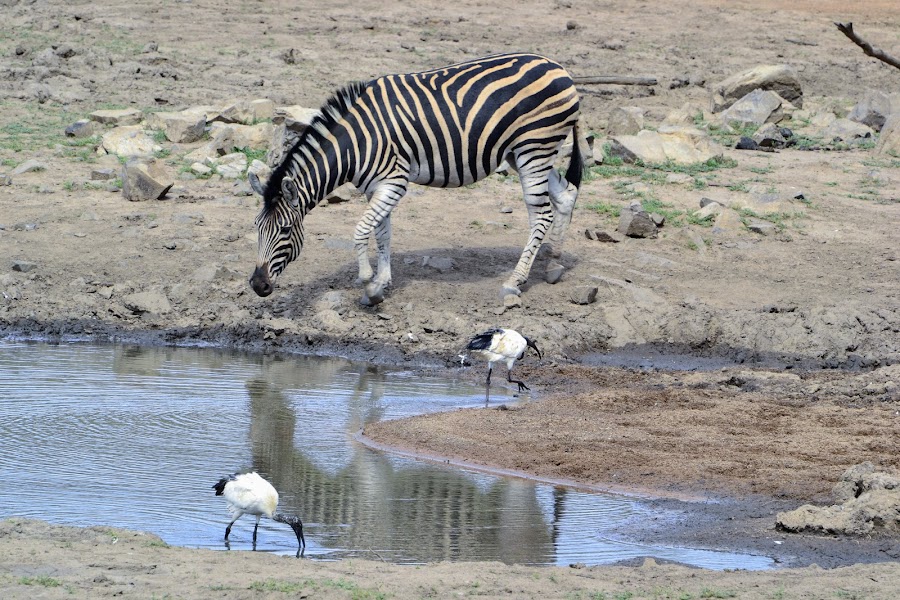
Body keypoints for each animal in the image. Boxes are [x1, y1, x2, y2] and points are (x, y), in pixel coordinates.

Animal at [246, 51, 584, 304]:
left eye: (285, 230)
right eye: (257, 228)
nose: (258, 286)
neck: (356, 143)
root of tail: (560, 68)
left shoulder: (395, 182)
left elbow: (361, 230)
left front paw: (367, 279)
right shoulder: (375, 186)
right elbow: (382, 232)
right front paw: (381, 283)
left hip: (534, 148)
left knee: (541, 213)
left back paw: (515, 280)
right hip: (525, 153)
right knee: (565, 195)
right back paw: (554, 261)